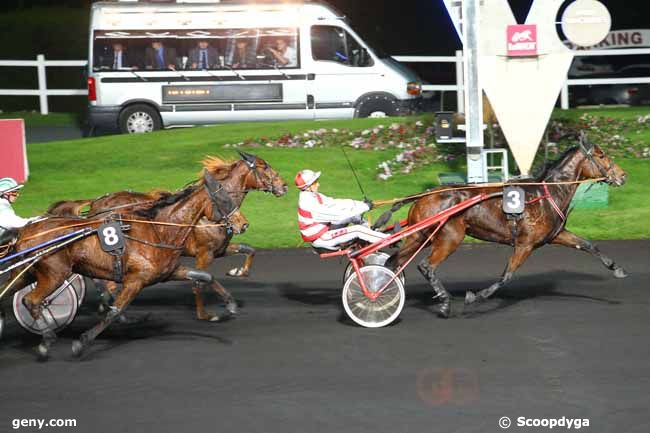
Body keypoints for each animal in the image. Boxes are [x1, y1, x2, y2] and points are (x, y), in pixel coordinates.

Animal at [13, 170, 246, 358]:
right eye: (224, 200)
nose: (243, 224)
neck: (159, 230)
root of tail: (26, 231)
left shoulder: (170, 271)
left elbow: (206, 276)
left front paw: (230, 305)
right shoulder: (136, 280)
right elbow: (116, 310)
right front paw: (82, 342)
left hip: (29, 273)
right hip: (55, 274)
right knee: (32, 300)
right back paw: (47, 340)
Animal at [48, 150, 286, 318]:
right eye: (264, 166)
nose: (284, 186)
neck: (206, 211)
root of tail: (96, 204)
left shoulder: (218, 250)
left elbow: (249, 249)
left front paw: (238, 271)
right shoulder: (204, 254)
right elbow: (199, 282)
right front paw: (204, 314)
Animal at [392, 142, 624, 318]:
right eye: (602, 155)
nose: (623, 175)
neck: (546, 194)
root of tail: (423, 196)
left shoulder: (556, 235)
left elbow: (588, 245)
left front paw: (616, 268)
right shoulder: (525, 244)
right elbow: (506, 276)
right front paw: (475, 297)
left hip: (420, 236)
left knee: (395, 262)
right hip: (450, 237)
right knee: (425, 266)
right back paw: (444, 302)